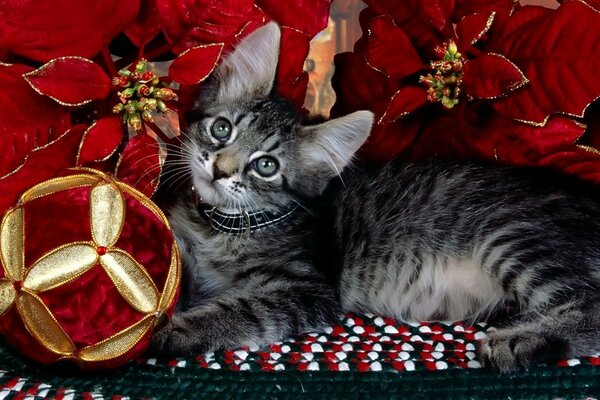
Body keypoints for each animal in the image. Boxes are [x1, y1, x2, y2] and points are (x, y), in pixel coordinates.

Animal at [152, 21, 596, 372]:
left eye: (265, 166)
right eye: (222, 129)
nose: (220, 170)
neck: (221, 227)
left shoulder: (307, 290)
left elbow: (240, 308)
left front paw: (175, 330)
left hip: (513, 238)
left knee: (590, 308)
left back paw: (520, 341)